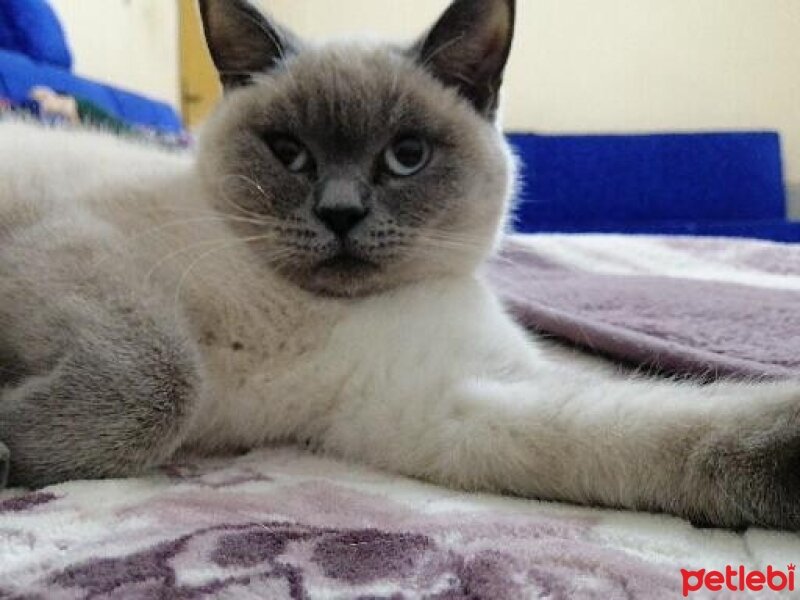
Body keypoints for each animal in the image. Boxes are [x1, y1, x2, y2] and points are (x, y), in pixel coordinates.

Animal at [0, 0, 796, 536]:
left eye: (406, 156)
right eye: (289, 153)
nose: (341, 214)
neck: (317, 319)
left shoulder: (442, 400)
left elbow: (672, 433)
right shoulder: (84, 256)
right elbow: (161, 387)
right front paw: (7, 449)